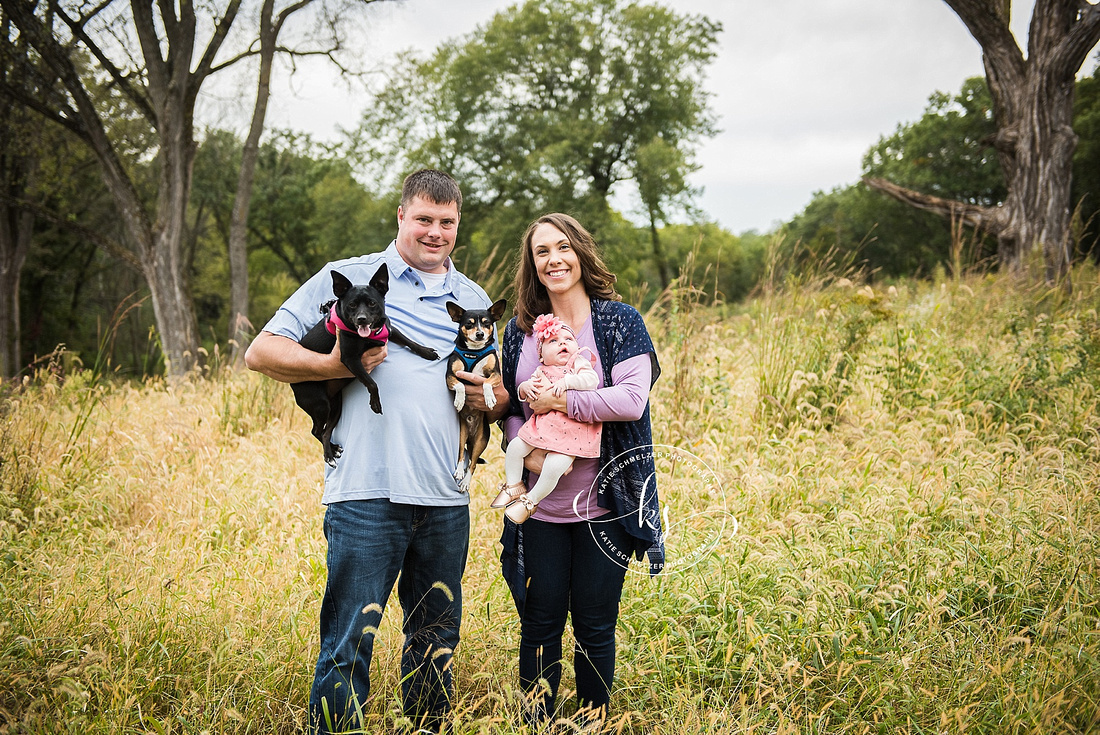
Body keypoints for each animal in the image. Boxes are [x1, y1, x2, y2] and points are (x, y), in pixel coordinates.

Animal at [297, 267, 442, 464]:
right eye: (352, 305)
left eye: (372, 303)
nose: (362, 319)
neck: (369, 335)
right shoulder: (350, 359)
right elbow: (371, 383)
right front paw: (375, 403)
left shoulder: (390, 330)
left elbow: (409, 341)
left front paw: (426, 352)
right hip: (321, 405)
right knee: (316, 430)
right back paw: (328, 454)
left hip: (336, 406)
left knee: (326, 432)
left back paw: (332, 449)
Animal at [446, 299, 506, 492]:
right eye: (469, 324)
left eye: (487, 323)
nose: (480, 334)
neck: (474, 351)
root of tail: (471, 437)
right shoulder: (450, 375)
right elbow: (460, 386)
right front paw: (460, 400)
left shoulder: (495, 374)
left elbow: (486, 383)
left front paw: (489, 398)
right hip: (461, 436)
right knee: (461, 456)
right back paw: (459, 472)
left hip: (481, 441)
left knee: (472, 463)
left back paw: (465, 482)